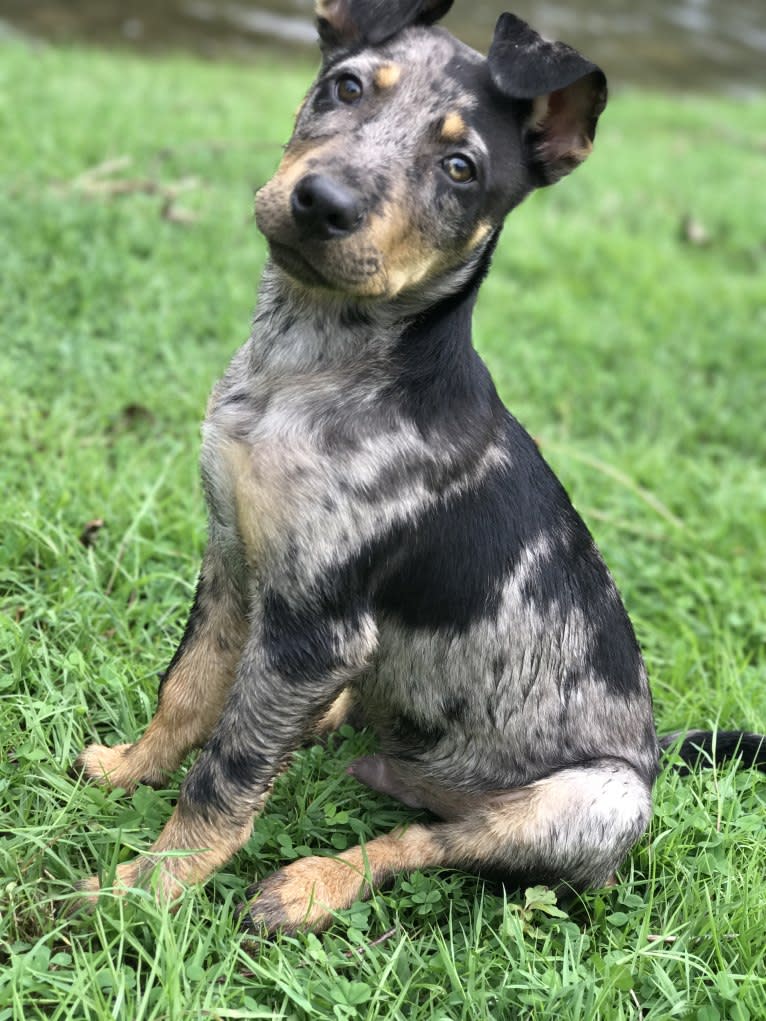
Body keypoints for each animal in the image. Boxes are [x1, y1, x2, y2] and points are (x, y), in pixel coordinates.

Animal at [70, 0, 763, 935]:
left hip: (595, 798)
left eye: (461, 169)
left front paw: (146, 890)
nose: (322, 203)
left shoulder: (316, 624)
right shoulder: (233, 558)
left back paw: (313, 882)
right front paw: (128, 767)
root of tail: (654, 750)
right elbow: (186, 688)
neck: (309, 364)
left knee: (432, 840)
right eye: (345, 86)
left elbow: (227, 768)